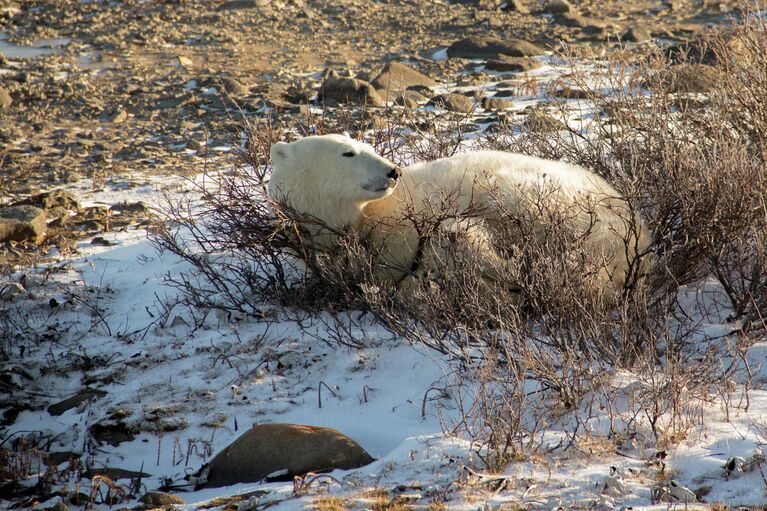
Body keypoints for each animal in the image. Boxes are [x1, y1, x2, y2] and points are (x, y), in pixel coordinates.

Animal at [270, 134, 656, 306]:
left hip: (548, 201)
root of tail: (640, 236)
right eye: (348, 152)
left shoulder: (414, 213)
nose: (393, 171)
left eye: (368, 145)